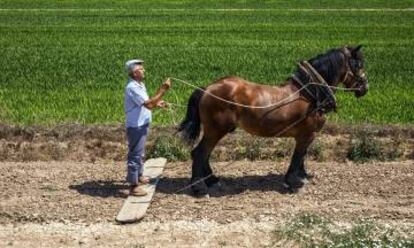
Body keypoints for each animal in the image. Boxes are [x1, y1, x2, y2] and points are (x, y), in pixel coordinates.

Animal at [178, 45, 368, 196]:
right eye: (357, 65)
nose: (365, 87)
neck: (310, 93)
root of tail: (207, 88)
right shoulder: (306, 134)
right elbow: (298, 156)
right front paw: (293, 181)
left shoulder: (307, 135)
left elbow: (302, 156)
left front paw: (302, 176)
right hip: (216, 130)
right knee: (199, 153)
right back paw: (199, 188)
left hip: (215, 130)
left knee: (205, 154)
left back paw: (212, 180)